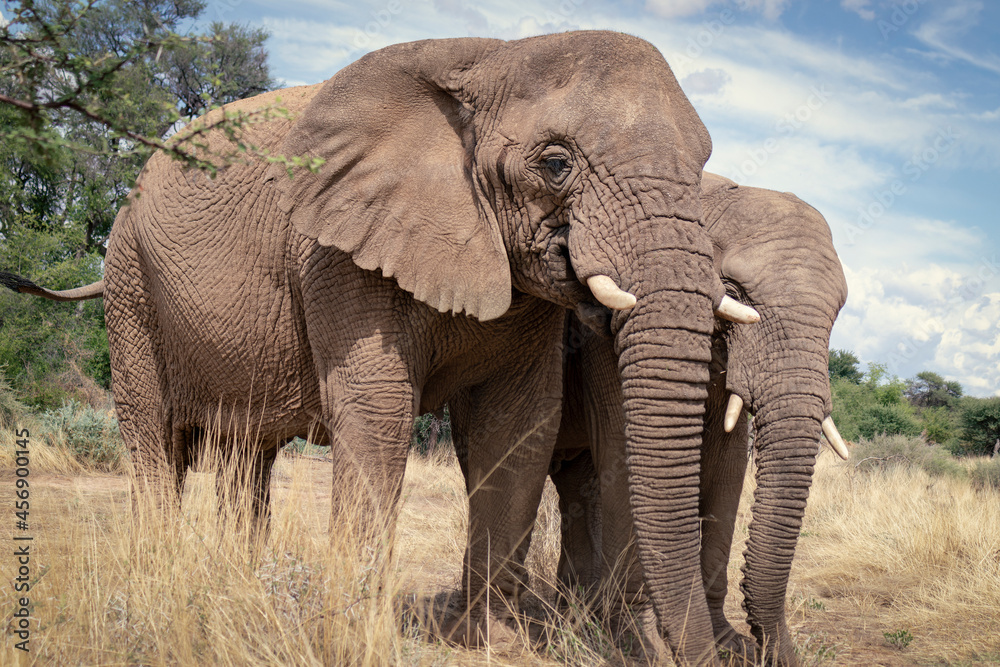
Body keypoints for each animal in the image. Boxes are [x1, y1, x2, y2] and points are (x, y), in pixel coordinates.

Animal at [1, 33, 761, 666]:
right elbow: (378, 410)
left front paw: (495, 643)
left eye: (702, 164)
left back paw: (241, 583)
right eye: (555, 163)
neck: (495, 57)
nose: (714, 653)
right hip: (130, 285)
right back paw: (159, 583)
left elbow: (518, 426)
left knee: (246, 455)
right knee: (155, 441)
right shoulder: (336, 253)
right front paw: (352, 634)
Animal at [456, 172, 849, 665]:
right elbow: (626, 443)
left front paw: (728, 644)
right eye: (733, 292)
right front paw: (638, 643)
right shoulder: (604, 332)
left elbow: (727, 468)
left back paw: (577, 612)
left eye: (838, 312)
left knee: (578, 483)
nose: (771, 650)